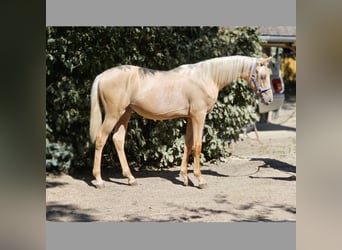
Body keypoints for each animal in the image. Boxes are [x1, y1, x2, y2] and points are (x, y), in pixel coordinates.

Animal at [90, 54, 272, 188]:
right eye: (262, 76)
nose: (269, 99)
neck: (206, 77)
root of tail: (102, 75)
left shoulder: (191, 117)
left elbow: (188, 144)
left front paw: (185, 178)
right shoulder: (199, 116)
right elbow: (197, 145)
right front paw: (200, 179)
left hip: (125, 114)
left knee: (118, 140)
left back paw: (130, 178)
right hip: (113, 114)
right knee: (100, 139)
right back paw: (98, 180)